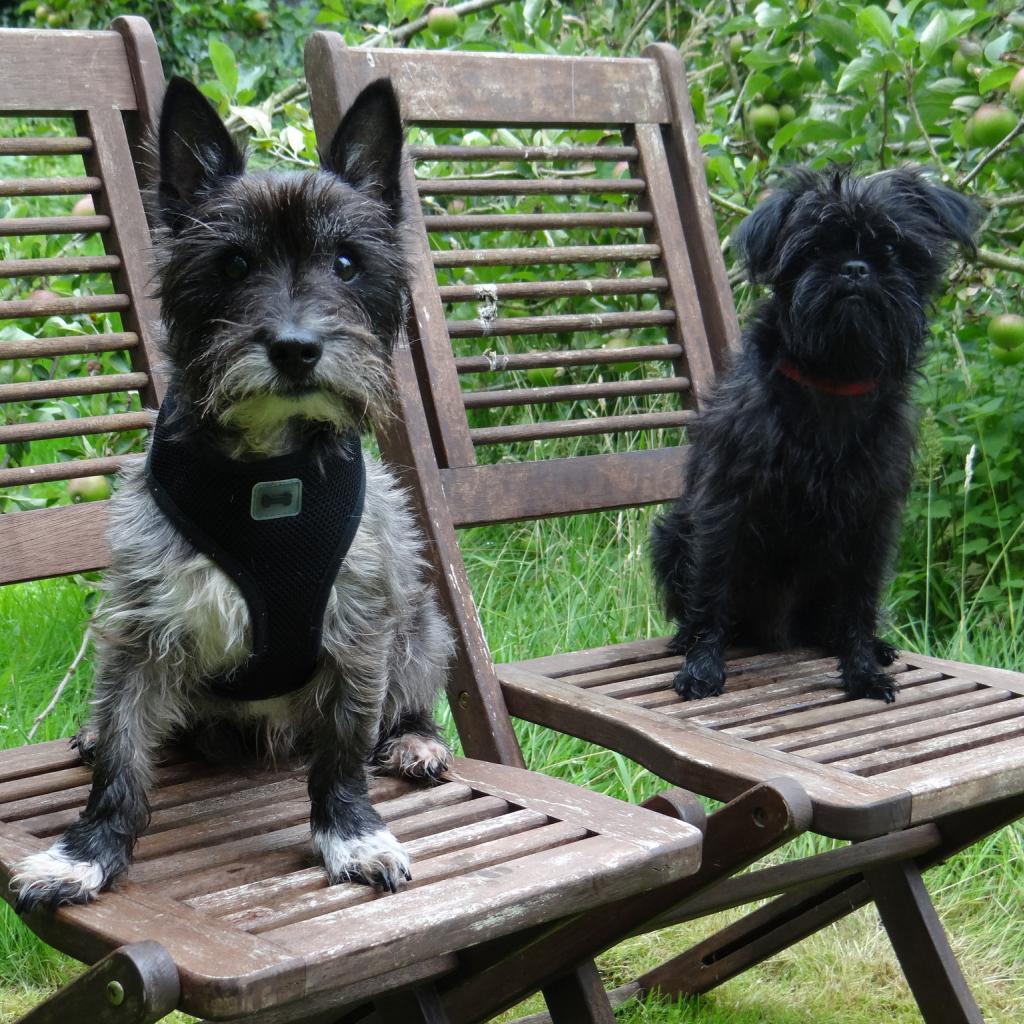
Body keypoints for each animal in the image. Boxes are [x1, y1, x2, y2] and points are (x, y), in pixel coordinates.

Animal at [12, 76, 454, 911]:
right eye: (234, 262)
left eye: (346, 262)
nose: (296, 348)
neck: (265, 473)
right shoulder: (143, 627)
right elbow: (123, 755)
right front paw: (86, 853)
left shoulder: (359, 632)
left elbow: (342, 752)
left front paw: (350, 835)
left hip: (421, 625)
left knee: (406, 699)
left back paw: (415, 739)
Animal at [652, 166, 978, 703]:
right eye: (815, 248)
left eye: (892, 247)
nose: (855, 268)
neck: (834, 379)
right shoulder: (725, 504)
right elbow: (713, 583)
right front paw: (701, 666)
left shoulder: (873, 519)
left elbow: (859, 599)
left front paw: (862, 668)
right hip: (672, 532)